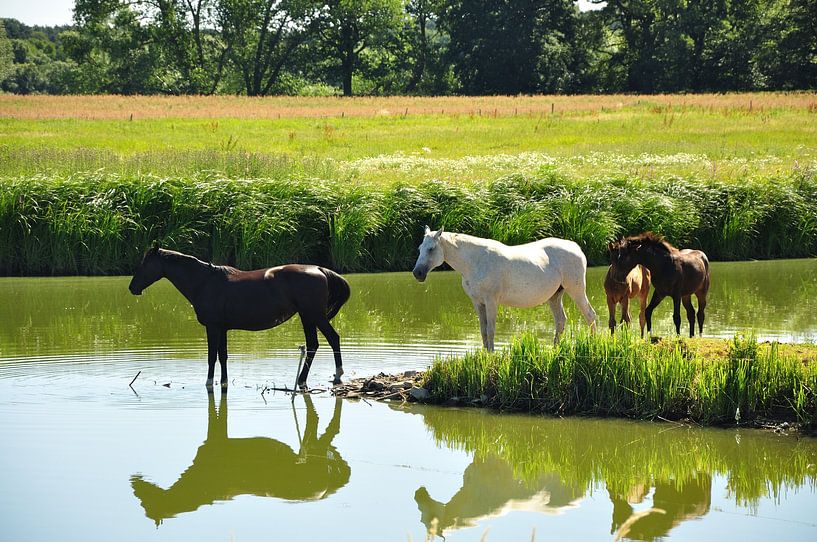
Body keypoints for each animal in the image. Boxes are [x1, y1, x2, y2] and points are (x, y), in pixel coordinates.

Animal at [129, 246, 350, 392]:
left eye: (145, 264)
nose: (132, 287)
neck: (205, 282)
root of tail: (319, 269)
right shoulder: (222, 328)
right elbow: (223, 356)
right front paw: (223, 382)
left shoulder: (212, 327)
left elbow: (211, 357)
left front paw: (208, 383)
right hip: (307, 316)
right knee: (313, 344)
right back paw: (303, 380)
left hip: (314, 315)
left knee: (332, 338)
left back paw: (337, 374)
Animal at [412, 228, 596, 348]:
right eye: (420, 248)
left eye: (431, 248)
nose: (417, 273)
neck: (475, 262)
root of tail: (576, 247)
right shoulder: (477, 302)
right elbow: (483, 331)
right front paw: (484, 355)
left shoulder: (491, 301)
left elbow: (491, 330)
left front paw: (491, 356)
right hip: (555, 296)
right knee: (560, 321)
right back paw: (555, 349)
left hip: (576, 290)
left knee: (589, 315)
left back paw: (592, 344)